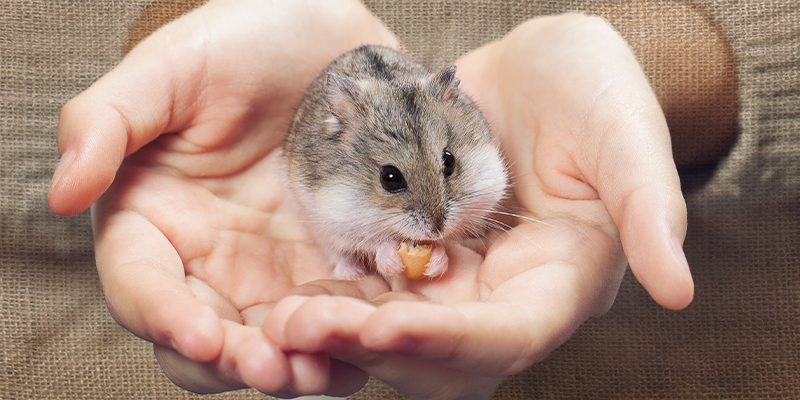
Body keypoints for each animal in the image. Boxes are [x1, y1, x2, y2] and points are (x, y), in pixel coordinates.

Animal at [283, 45, 508, 280]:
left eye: (449, 160)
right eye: (390, 178)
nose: (436, 231)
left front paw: (437, 260)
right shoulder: (333, 220)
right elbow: (373, 243)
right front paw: (389, 259)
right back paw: (353, 274)